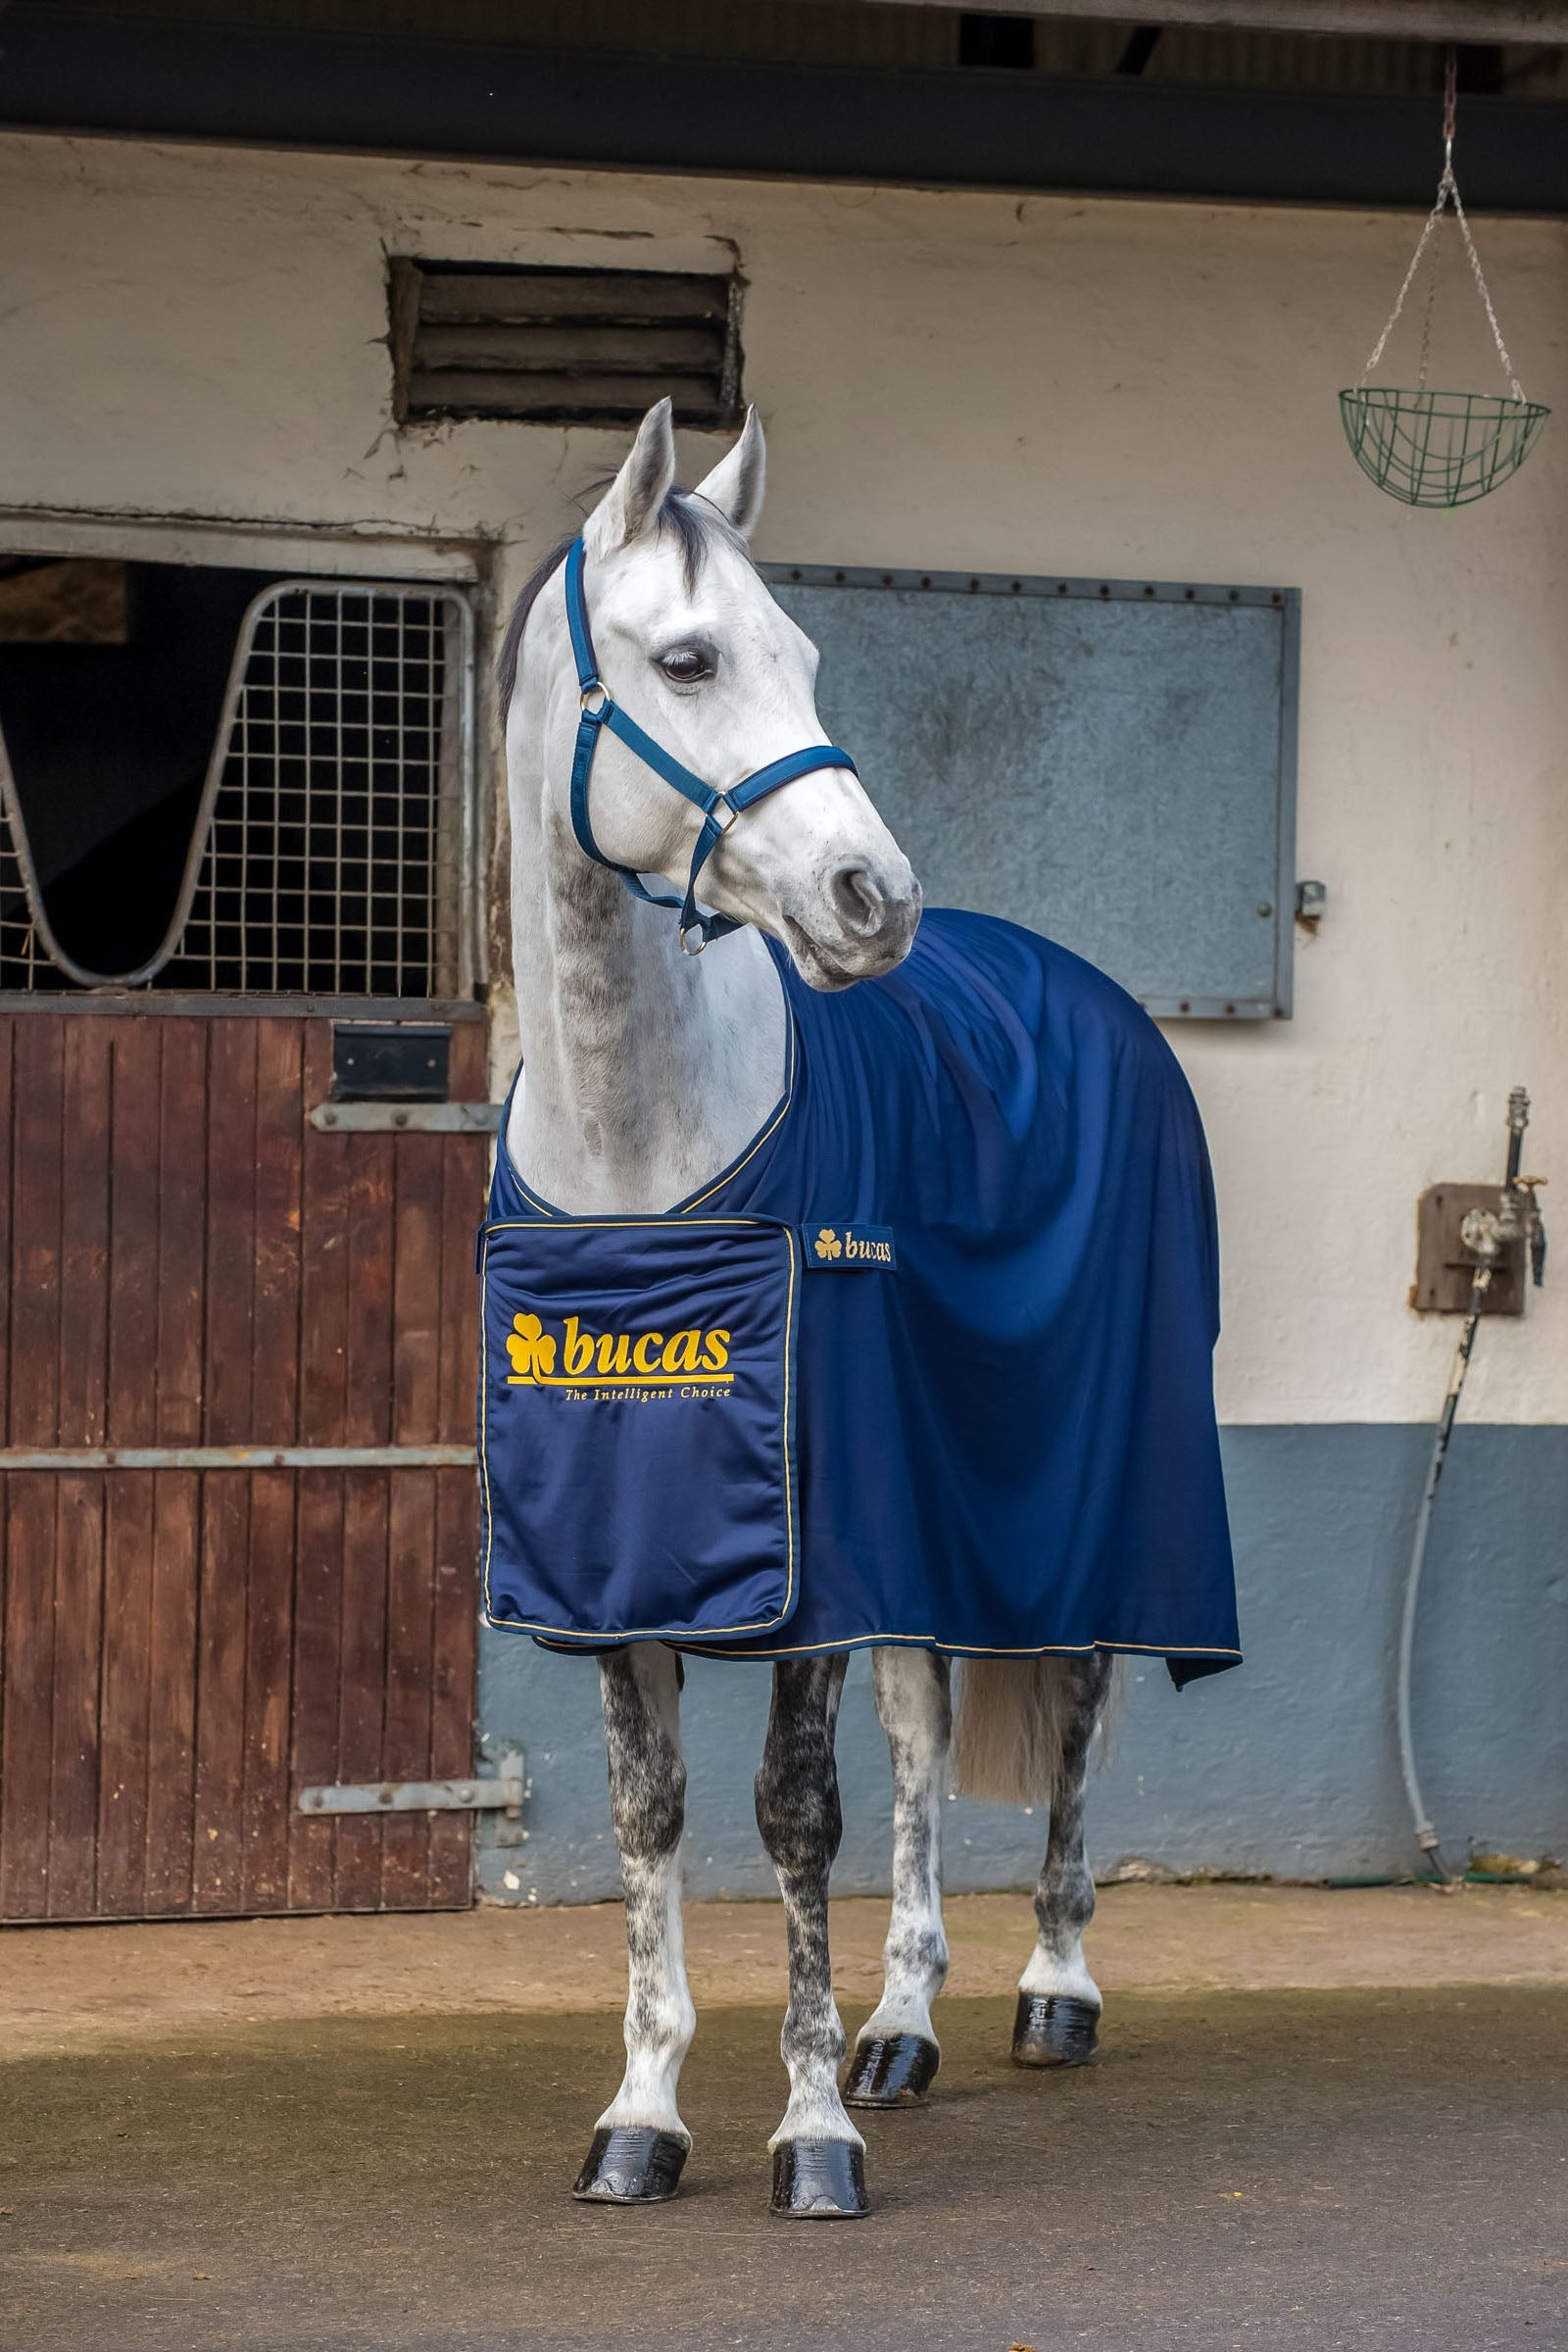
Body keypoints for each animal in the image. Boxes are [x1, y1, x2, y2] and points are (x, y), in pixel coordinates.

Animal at [494, 397, 1227, 2218]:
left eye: (808, 656)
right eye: (686, 659)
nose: (870, 901)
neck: (642, 1157)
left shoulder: (812, 1562)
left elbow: (791, 1817)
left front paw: (810, 2134)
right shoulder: (625, 1557)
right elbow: (657, 1818)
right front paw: (645, 2115)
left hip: (1069, 1509)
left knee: (1071, 1709)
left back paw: (1050, 1993)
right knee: (923, 1727)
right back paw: (905, 2025)